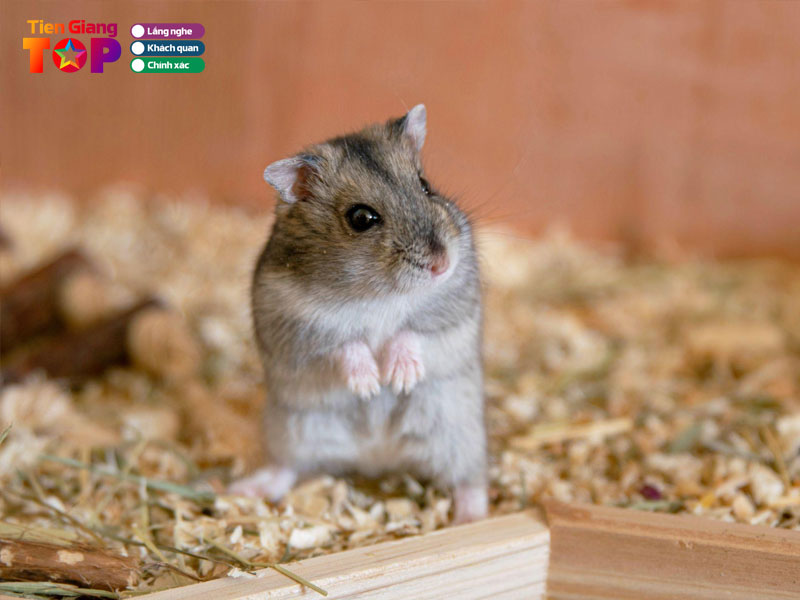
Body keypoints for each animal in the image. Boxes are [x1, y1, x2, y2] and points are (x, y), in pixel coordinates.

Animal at [229, 105, 487, 524]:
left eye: (425, 185)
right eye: (361, 218)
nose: (442, 264)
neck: (379, 293)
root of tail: (377, 458)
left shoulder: (453, 308)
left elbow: (412, 332)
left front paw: (398, 379)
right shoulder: (298, 326)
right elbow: (345, 344)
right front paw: (369, 385)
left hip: (459, 432)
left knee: (471, 480)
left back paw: (471, 519)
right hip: (293, 430)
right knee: (286, 468)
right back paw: (242, 489)